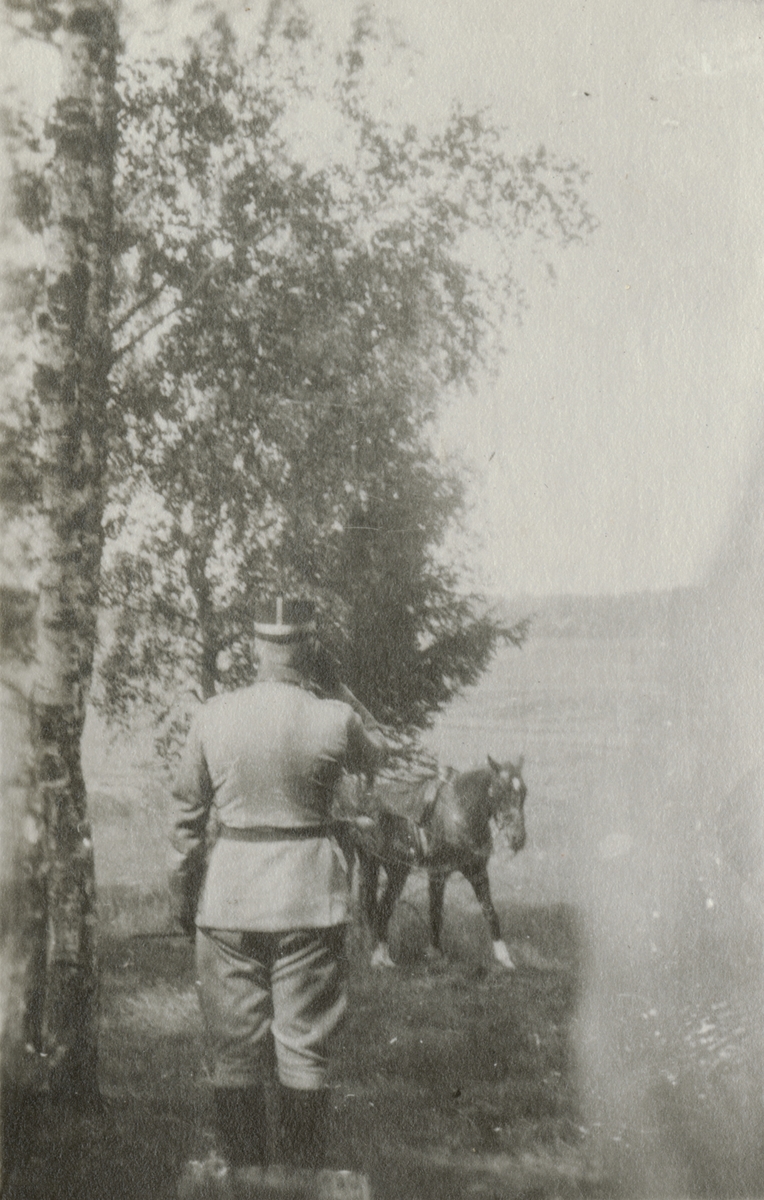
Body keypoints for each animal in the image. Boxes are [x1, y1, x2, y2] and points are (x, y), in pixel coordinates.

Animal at [352, 757, 527, 970]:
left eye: (524, 792)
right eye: (501, 791)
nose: (518, 838)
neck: (459, 813)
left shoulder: (477, 872)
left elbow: (490, 912)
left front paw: (504, 958)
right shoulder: (438, 873)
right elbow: (435, 912)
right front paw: (436, 954)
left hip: (386, 868)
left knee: (378, 906)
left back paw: (380, 953)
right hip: (383, 867)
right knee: (377, 906)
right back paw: (379, 957)